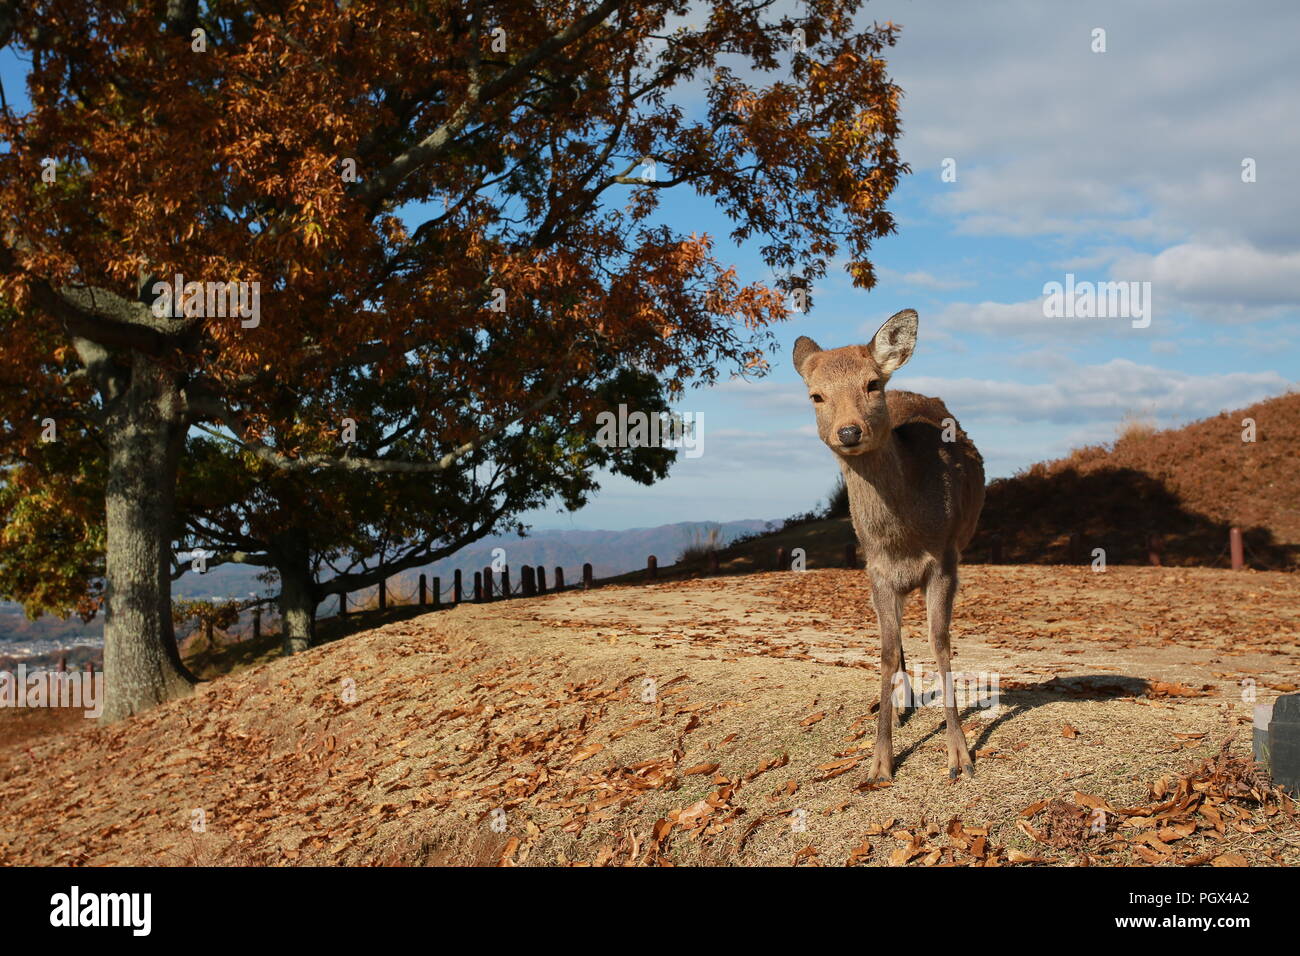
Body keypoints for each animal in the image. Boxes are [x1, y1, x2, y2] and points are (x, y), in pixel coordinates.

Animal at [790, 310, 982, 780]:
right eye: (816, 395)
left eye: (872, 384)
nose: (848, 431)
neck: (902, 538)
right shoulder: (874, 570)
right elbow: (886, 651)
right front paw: (880, 762)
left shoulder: (945, 560)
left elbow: (940, 641)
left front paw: (960, 758)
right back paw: (898, 705)